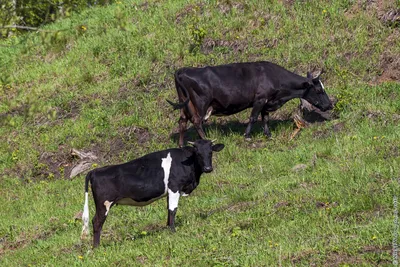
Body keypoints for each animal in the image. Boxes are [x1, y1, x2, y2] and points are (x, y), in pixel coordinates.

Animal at [81, 139, 225, 248]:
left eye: (210, 152)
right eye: (198, 153)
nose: (208, 168)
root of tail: (95, 171)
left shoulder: (170, 192)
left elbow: (168, 209)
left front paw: (168, 228)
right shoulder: (174, 187)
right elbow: (173, 210)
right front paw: (173, 231)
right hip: (104, 203)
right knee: (97, 222)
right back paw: (97, 247)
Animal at [167, 61, 332, 148]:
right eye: (318, 90)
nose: (330, 105)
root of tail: (182, 70)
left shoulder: (267, 102)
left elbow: (265, 118)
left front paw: (268, 135)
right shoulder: (260, 99)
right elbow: (253, 117)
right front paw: (247, 136)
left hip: (185, 103)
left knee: (182, 121)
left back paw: (181, 145)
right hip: (201, 103)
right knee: (197, 121)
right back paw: (208, 141)